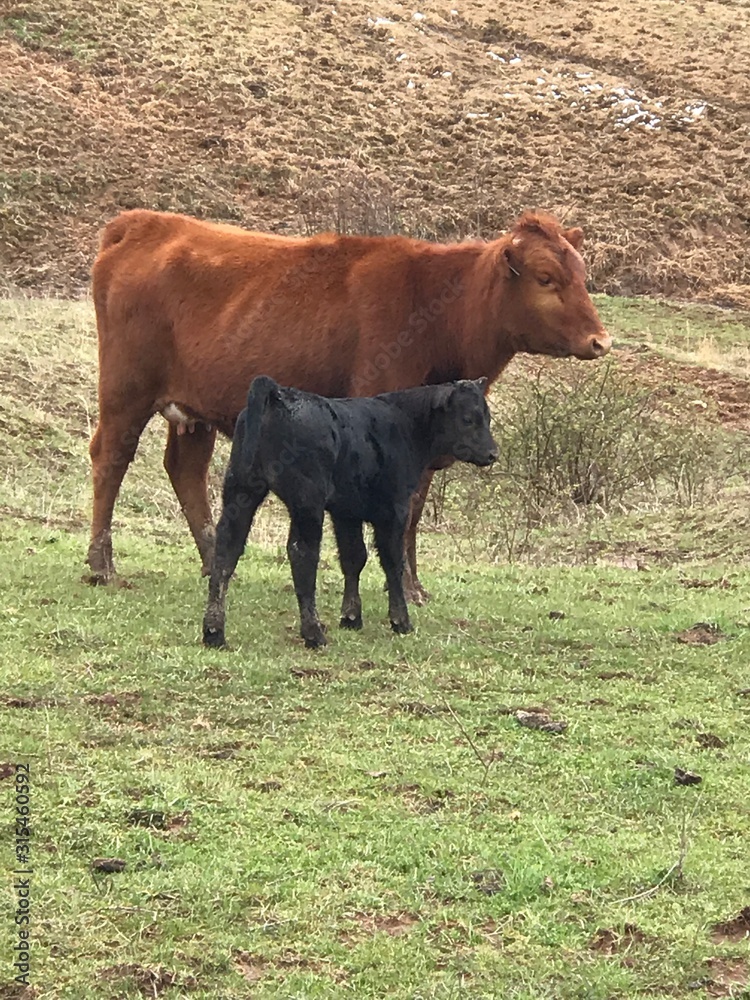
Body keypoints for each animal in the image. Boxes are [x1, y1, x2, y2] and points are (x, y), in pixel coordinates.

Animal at [87, 208, 611, 601]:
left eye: (583, 275)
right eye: (546, 278)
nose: (600, 341)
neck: (438, 310)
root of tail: (144, 221)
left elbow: (415, 509)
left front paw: (413, 585)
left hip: (193, 408)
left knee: (185, 470)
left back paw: (213, 561)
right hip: (125, 388)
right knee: (111, 457)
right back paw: (100, 564)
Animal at [202, 376, 498, 649]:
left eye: (488, 417)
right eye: (468, 419)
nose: (493, 453)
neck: (405, 426)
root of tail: (278, 393)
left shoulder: (347, 512)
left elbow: (354, 557)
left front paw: (351, 617)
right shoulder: (394, 508)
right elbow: (392, 561)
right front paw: (400, 621)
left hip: (241, 489)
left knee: (227, 550)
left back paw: (214, 632)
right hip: (306, 499)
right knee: (302, 553)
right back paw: (314, 633)